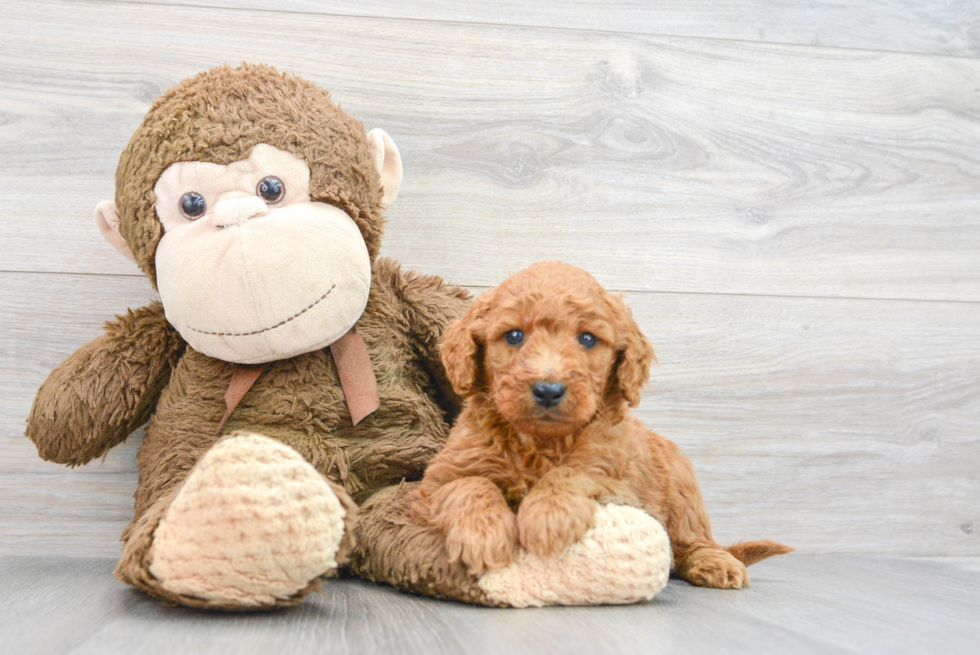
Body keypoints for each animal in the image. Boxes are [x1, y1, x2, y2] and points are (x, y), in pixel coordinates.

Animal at [418, 260, 792, 588]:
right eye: (513, 336)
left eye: (587, 339)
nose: (549, 390)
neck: (541, 442)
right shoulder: (439, 477)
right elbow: (469, 485)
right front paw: (483, 534)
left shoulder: (617, 479)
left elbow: (572, 473)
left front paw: (548, 518)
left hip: (683, 489)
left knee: (693, 539)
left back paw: (716, 563)